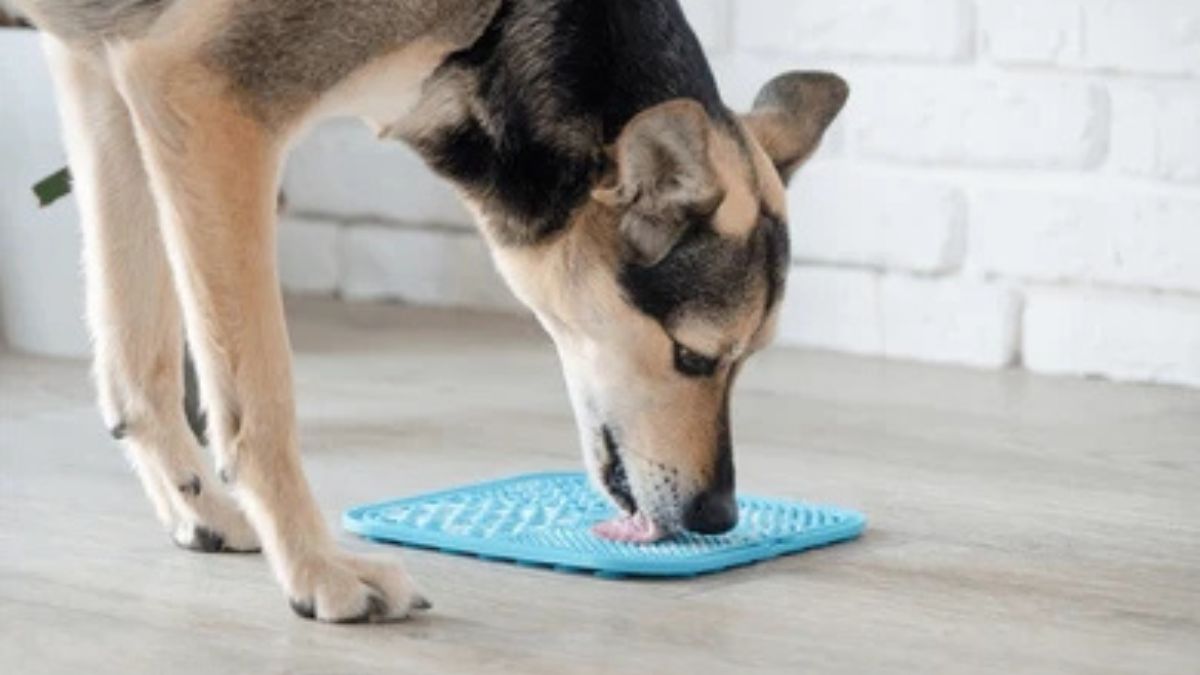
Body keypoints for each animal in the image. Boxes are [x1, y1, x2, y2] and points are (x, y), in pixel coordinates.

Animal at [14, 0, 849, 619]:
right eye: (693, 355)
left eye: (748, 357)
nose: (719, 517)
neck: (497, 26)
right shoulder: (204, 92)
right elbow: (261, 398)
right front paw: (316, 567)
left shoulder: (107, 69)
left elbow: (137, 356)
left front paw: (198, 505)